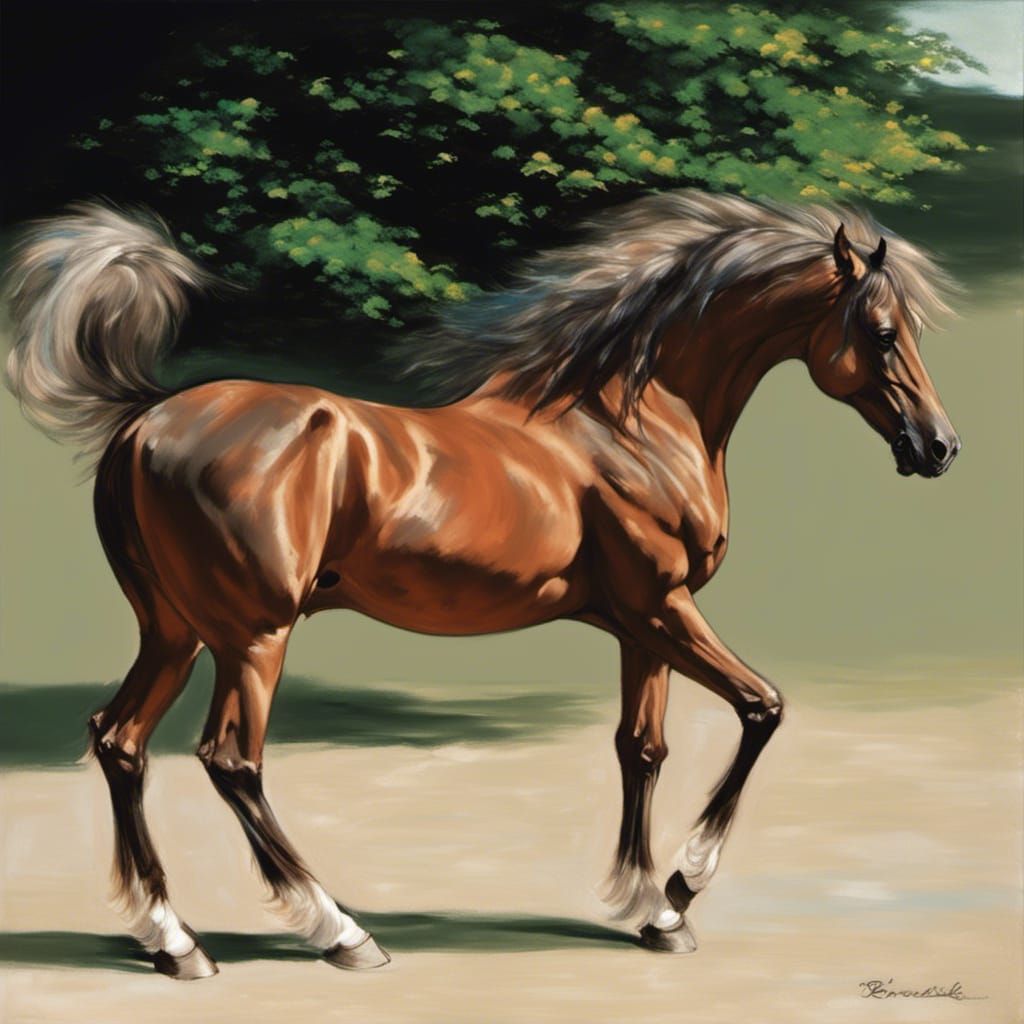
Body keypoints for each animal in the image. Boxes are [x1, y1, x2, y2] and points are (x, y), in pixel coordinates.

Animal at [3, 191, 959, 979]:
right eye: (881, 331)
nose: (939, 446)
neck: (631, 423)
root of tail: (144, 420)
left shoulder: (640, 627)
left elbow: (641, 749)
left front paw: (645, 907)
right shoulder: (665, 608)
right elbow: (762, 708)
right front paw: (682, 890)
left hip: (174, 630)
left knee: (120, 742)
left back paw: (173, 941)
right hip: (252, 636)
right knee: (230, 761)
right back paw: (340, 933)